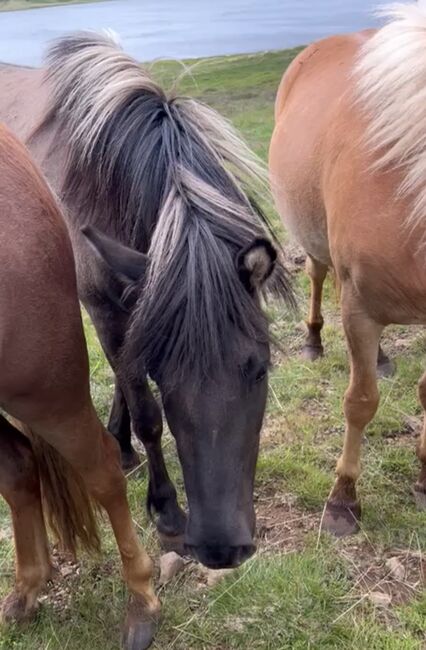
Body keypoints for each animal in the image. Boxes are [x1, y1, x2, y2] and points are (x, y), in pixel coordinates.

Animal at [0, 33, 294, 564]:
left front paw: (120, 445)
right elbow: (147, 411)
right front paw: (166, 508)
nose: (220, 549)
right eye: (164, 376)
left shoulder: (134, 305)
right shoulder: (105, 308)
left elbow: (126, 378)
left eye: (260, 369)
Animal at [270, 2, 426, 536]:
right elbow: (360, 402)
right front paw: (343, 498)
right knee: (318, 277)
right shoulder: (358, 307)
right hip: (313, 239)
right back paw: (314, 340)